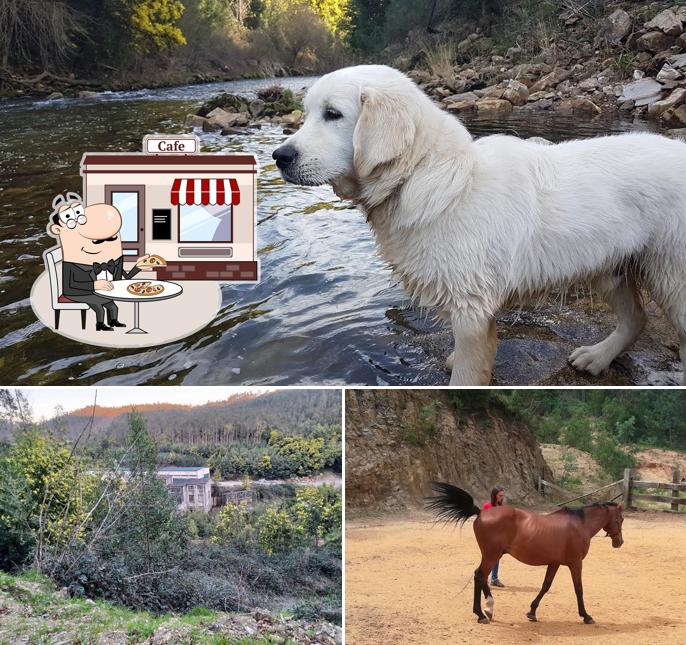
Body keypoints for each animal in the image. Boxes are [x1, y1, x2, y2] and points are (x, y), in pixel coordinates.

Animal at [274, 66, 686, 382]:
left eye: (333, 114)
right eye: (307, 113)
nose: (280, 156)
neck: (419, 175)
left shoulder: (472, 309)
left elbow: (468, 373)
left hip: (671, 274)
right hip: (610, 266)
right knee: (636, 319)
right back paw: (598, 357)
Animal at [432, 484, 628, 624]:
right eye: (621, 519)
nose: (619, 542)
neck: (579, 525)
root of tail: (481, 512)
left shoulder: (554, 563)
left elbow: (546, 586)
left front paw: (532, 612)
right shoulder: (575, 563)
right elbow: (578, 589)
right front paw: (586, 616)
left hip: (493, 555)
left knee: (480, 576)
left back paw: (488, 609)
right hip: (491, 555)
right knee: (480, 576)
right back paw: (481, 614)